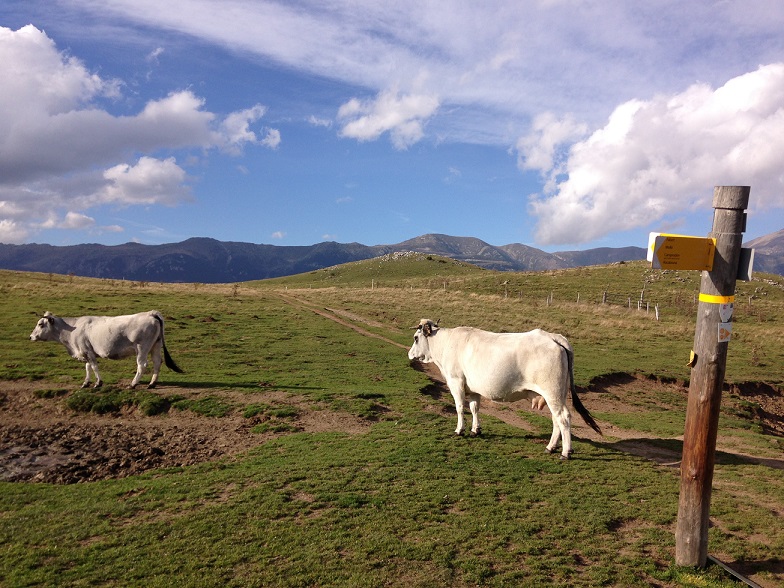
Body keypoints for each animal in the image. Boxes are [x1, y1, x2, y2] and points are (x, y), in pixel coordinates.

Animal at [29, 310, 183, 388]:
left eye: (41, 324)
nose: (31, 336)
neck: (72, 329)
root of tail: (151, 313)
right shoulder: (86, 351)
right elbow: (88, 367)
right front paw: (86, 382)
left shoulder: (87, 351)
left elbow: (94, 367)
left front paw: (98, 383)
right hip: (155, 345)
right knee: (157, 362)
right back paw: (152, 383)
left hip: (142, 348)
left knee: (142, 365)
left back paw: (133, 384)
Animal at [408, 320, 604, 458]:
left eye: (416, 338)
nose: (409, 354)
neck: (445, 343)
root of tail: (553, 337)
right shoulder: (473, 388)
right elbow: (474, 408)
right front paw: (475, 430)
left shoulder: (455, 382)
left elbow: (459, 407)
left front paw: (459, 430)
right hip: (557, 394)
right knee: (556, 419)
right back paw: (551, 447)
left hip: (552, 392)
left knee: (563, 417)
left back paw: (566, 452)